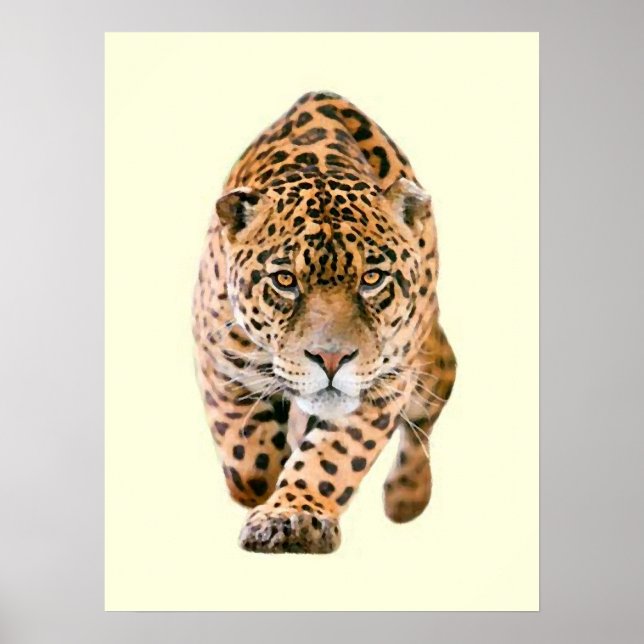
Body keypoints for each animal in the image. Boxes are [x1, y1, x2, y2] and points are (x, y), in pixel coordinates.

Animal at [192, 91, 456, 554]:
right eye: (285, 280)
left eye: (372, 279)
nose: (331, 360)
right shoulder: (220, 361)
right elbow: (249, 463)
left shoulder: (384, 384)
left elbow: (333, 457)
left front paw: (293, 516)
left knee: (432, 400)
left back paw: (407, 495)